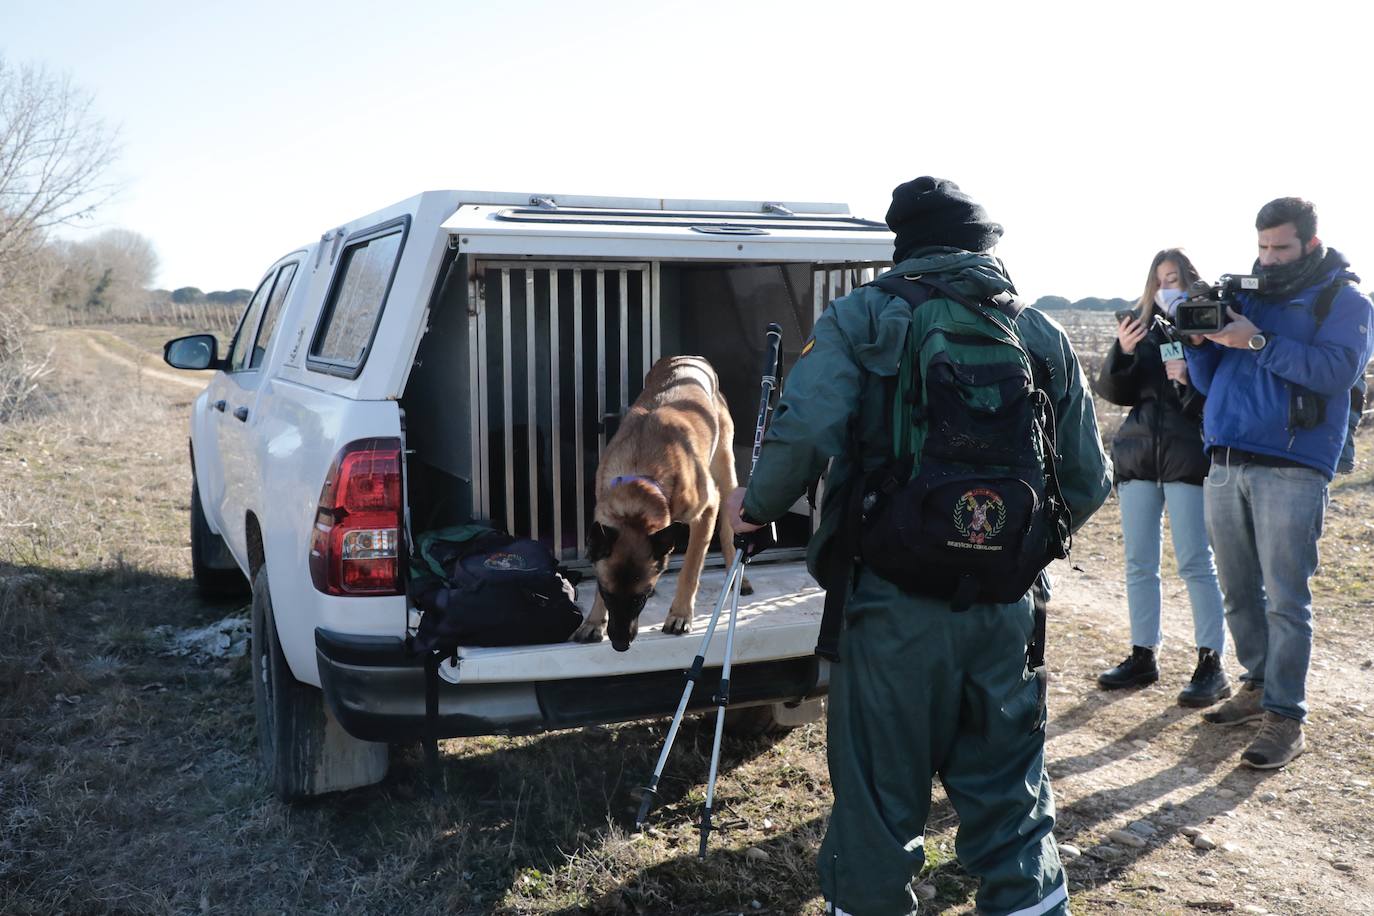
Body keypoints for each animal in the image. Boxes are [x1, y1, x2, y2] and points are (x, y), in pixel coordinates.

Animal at [571, 357, 752, 650]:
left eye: (639, 599)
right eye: (608, 595)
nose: (620, 644)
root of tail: (692, 358)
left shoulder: (706, 511)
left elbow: (690, 570)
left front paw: (680, 615)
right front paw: (594, 621)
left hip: (726, 473)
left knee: (729, 530)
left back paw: (738, 577)